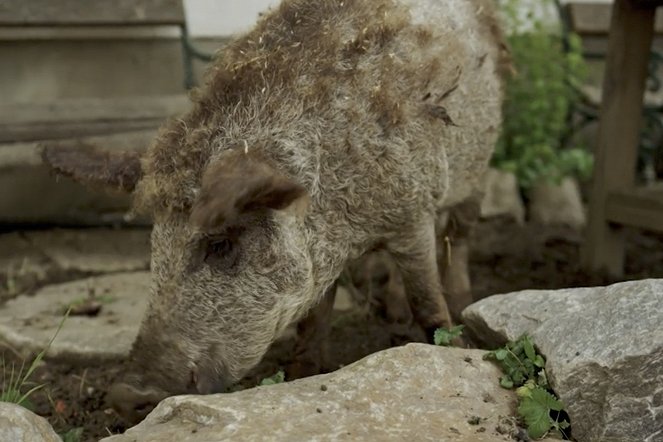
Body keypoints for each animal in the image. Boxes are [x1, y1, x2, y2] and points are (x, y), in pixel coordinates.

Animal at [40, 0, 508, 424]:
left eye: (221, 244)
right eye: (155, 248)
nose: (123, 395)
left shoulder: (412, 212)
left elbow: (427, 301)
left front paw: (455, 349)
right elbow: (312, 324)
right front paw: (302, 375)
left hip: (479, 168)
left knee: (460, 235)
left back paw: (460, 299)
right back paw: (390, 312)